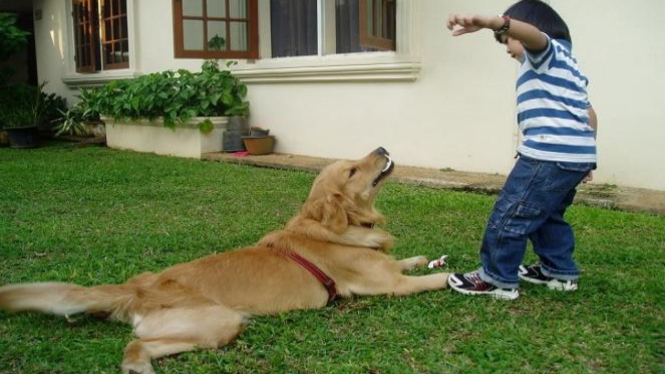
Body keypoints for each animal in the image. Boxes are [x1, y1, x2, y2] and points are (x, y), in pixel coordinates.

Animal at [0, 148, 448, 372]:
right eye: (353, 170)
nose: (382, 149)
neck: (341, 227)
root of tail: (138, 288)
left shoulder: (390, 268)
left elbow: (409, 261)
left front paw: (424, 256)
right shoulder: (389, 287)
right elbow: (434, 280)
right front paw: (460, 277)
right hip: (220, 321)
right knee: (135, 345)